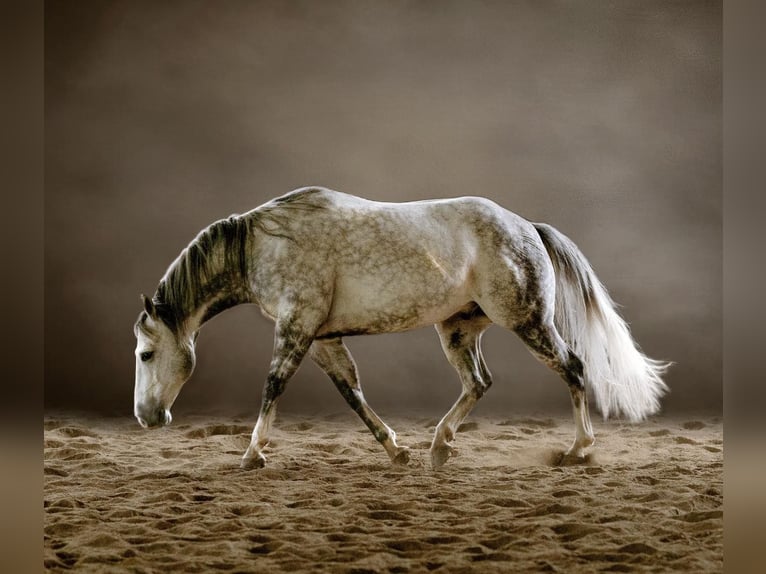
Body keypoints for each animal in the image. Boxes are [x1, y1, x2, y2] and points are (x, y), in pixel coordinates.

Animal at [134, 189, 672, 472]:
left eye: (144, 354)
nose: (146, 417)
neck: (263, 243)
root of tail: (527, 227)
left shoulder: (296, 327)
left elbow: (273, 385)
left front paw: (252, 453)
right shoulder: (322, 338)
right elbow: (351, 391)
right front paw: (396, 449)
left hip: (528, 321)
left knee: (573, 369)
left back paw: (577, 449)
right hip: (458, 330)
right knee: (478, 382)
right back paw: (440, 446)